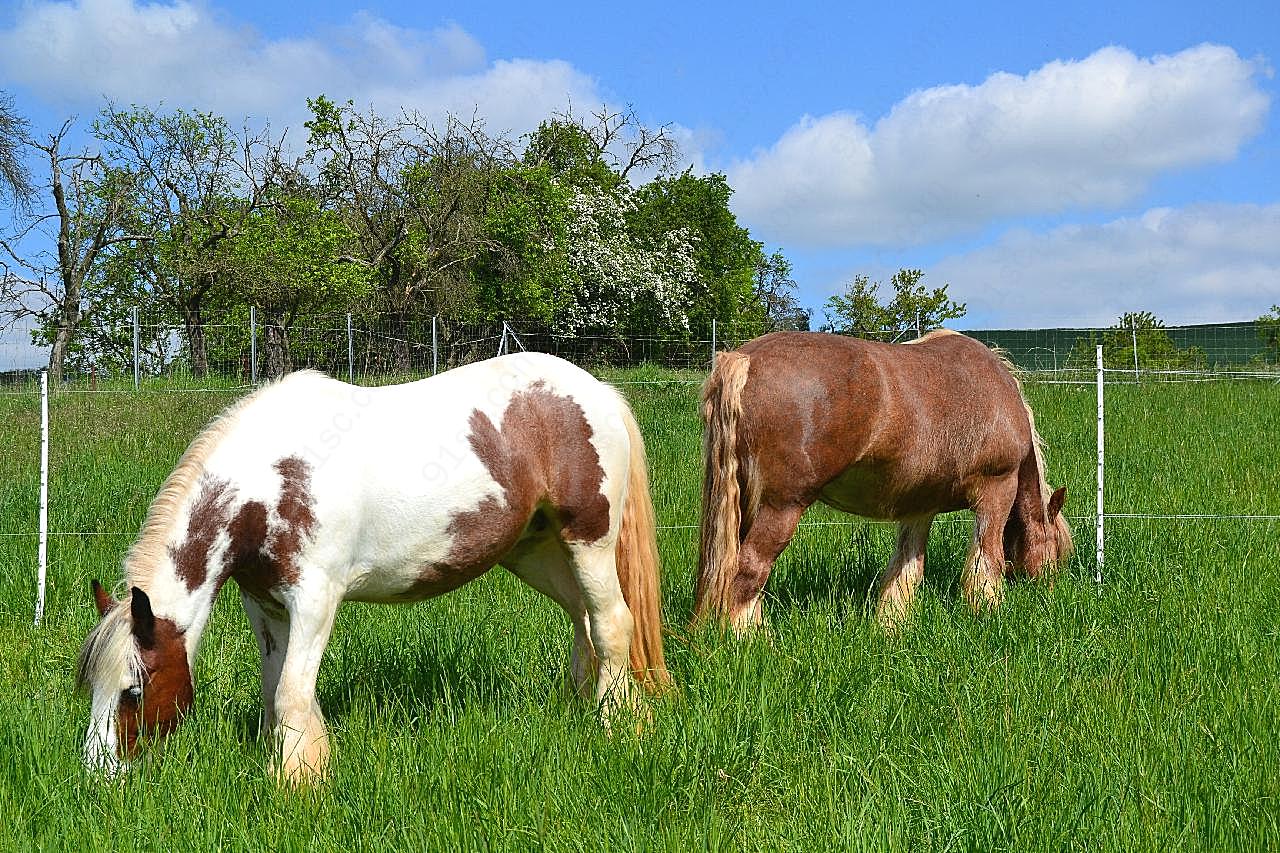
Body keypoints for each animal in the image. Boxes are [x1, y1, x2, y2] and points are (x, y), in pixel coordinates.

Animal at [77, 353, 670, 783]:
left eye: (133, 691)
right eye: (90, 688)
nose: (98, 775)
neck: (269, 485)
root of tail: (599, 393)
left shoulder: (315, 600)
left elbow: (292, 693)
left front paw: (295, 783)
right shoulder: (264, 605)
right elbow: (276, 691)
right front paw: (297, 764)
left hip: (589, 541)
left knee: (613, 623)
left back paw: (619, 728)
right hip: (536, 552)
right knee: (584, 621)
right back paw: (583, 708)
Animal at [696, 327, 1075, 627]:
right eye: (1056, 549)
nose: (1049, 591)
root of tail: (744, 360)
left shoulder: (920, 508)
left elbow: (906, 569)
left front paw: (890, 624)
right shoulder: (997, 489)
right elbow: (987, 558)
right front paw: (987, 611)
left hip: (743, 507)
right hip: (782, 507)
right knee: (749, 571)